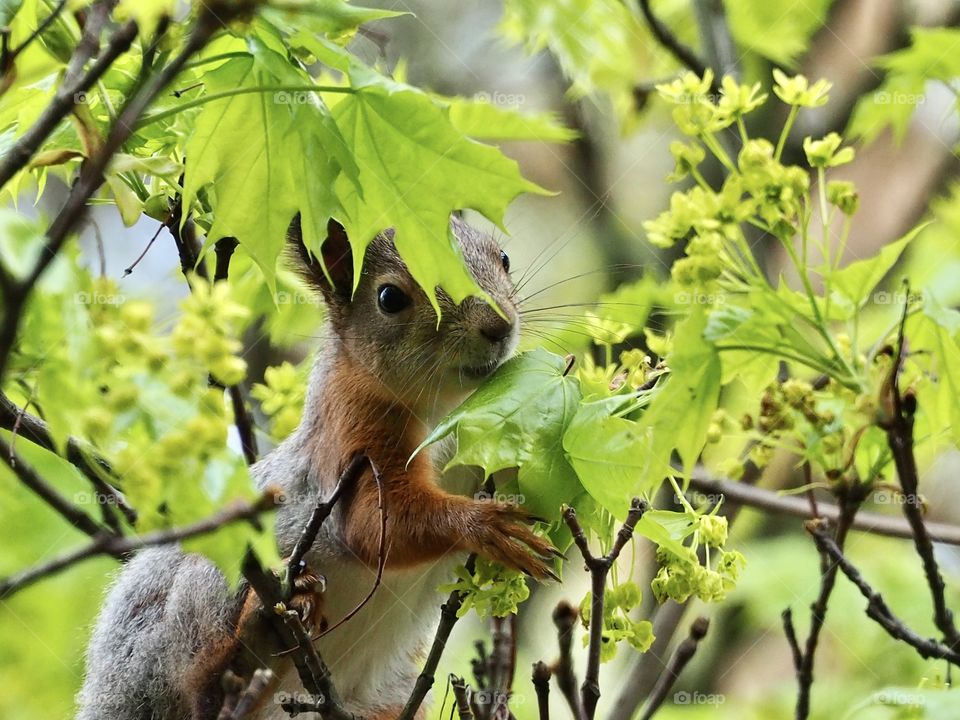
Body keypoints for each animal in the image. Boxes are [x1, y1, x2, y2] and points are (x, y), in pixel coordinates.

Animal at [76, 216, 558, 720]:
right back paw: (258, 633)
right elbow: (377, 525)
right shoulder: (352, 430)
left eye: (502, 257)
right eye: (390, 298)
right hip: (205, 589)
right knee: (200, 683)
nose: (498, 325)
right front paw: (482, 525)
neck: (448, 405)